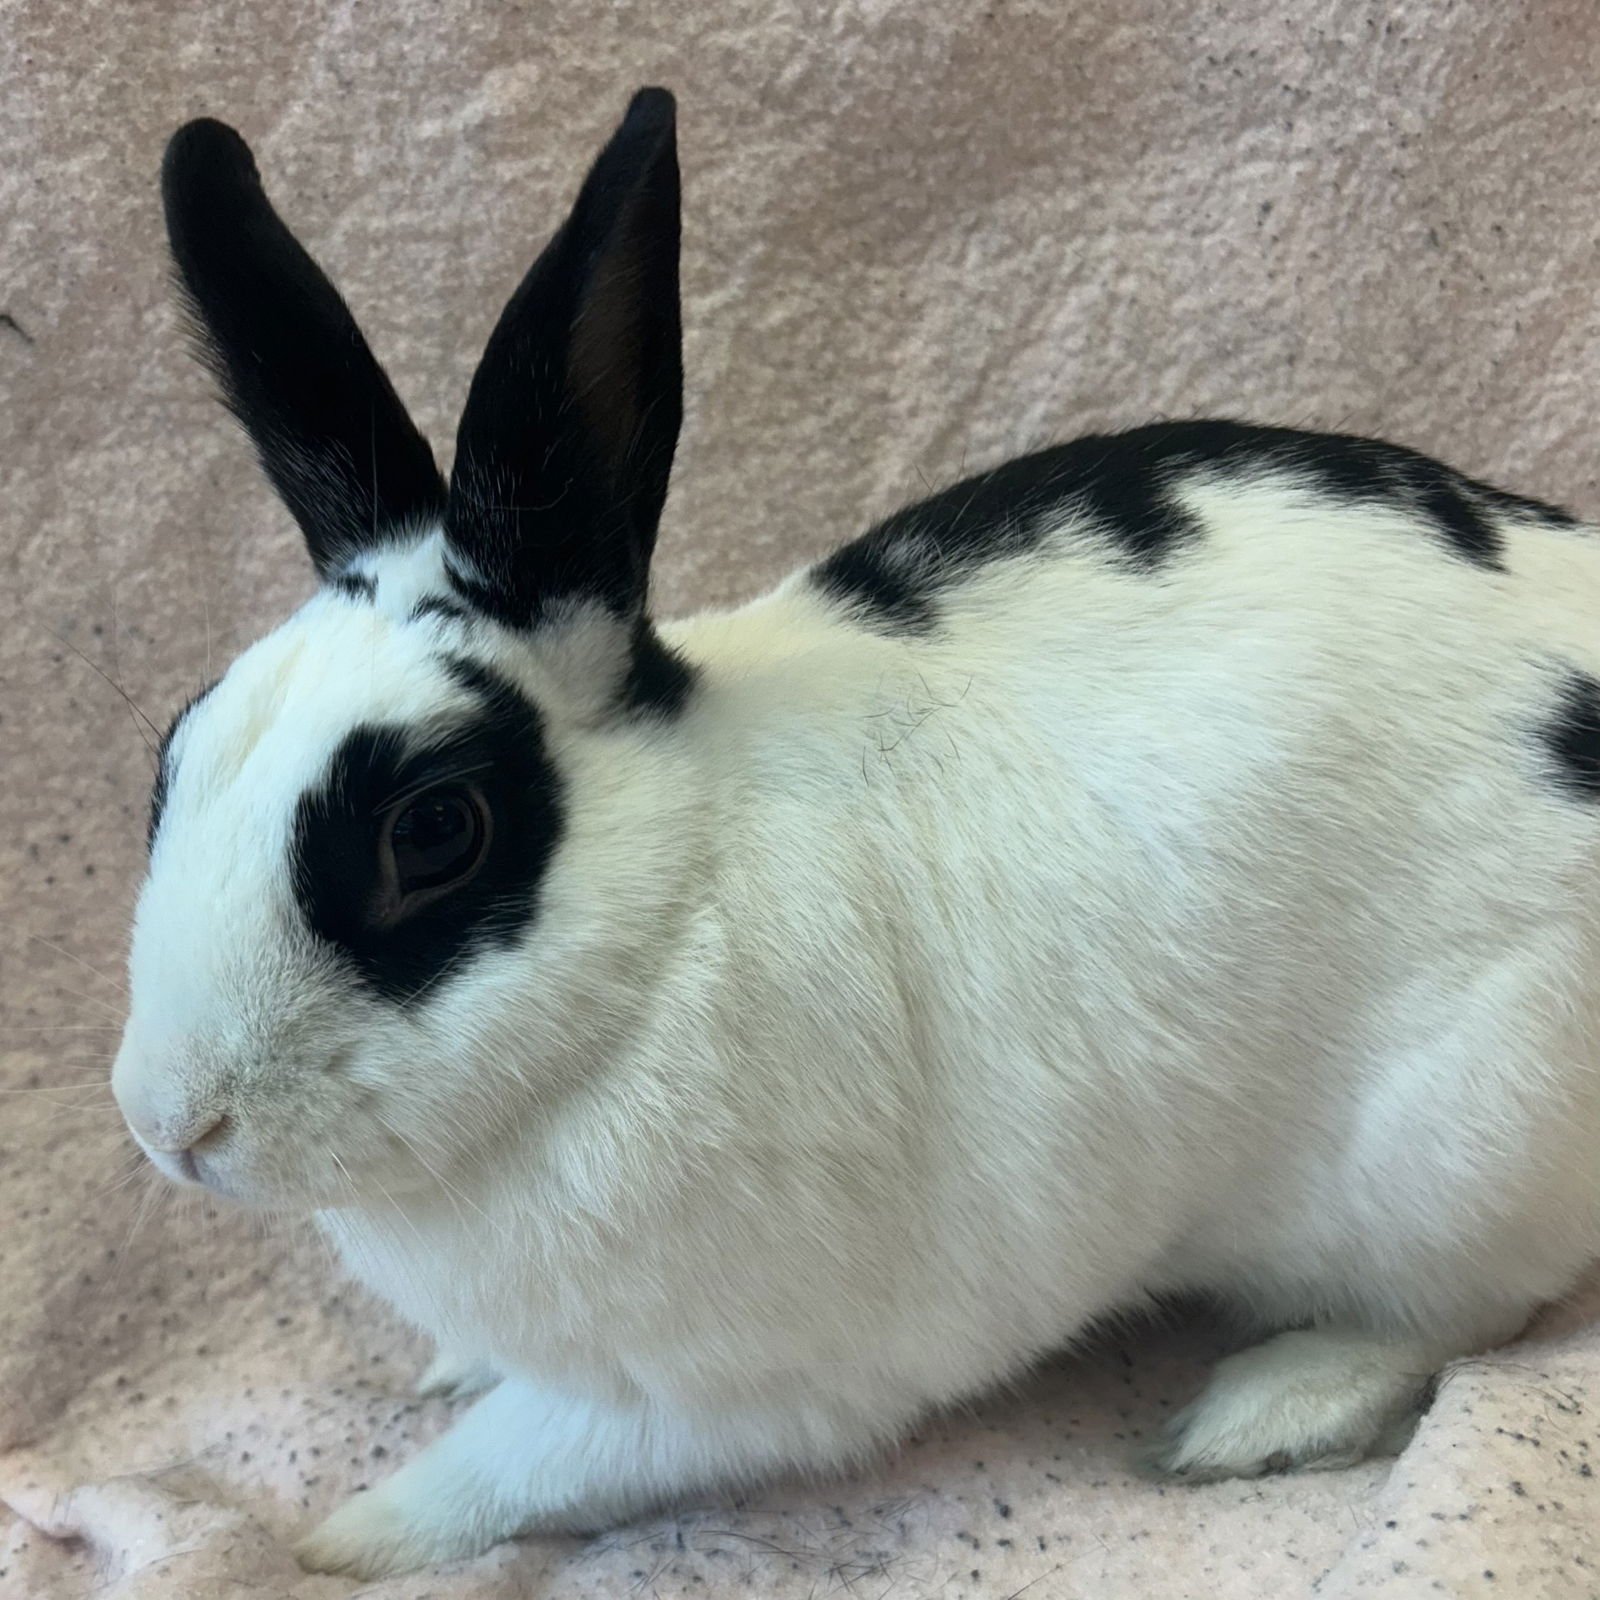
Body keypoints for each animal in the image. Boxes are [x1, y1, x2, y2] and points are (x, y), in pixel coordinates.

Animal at [111, 85, 1600, 1580]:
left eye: (433, 831)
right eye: (175, 752)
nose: (170, 1123)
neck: (657, 935)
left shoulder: (723, 1391)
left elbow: (515, 1462)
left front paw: (343, 1540)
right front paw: (440, 1376)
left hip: (1458, 1146)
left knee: (1467, 1314)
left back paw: (1260, 1413)